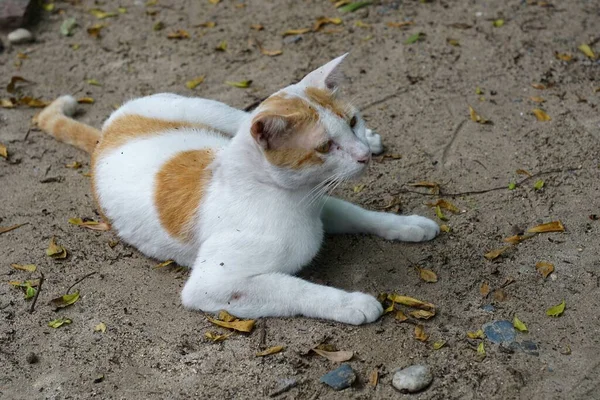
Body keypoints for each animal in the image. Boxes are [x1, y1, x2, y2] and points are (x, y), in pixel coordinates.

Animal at [38, 53, 440, 324]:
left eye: (353, 121)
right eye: (325, 147)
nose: (361, 155)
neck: (294, 198)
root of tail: (105, 136)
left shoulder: (322, 202)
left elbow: (358, 213)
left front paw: (408, 224)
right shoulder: (212, 284)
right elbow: (291, 288)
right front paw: (352, 303)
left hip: (218, 113)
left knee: (241, 117)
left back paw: (375, 142)